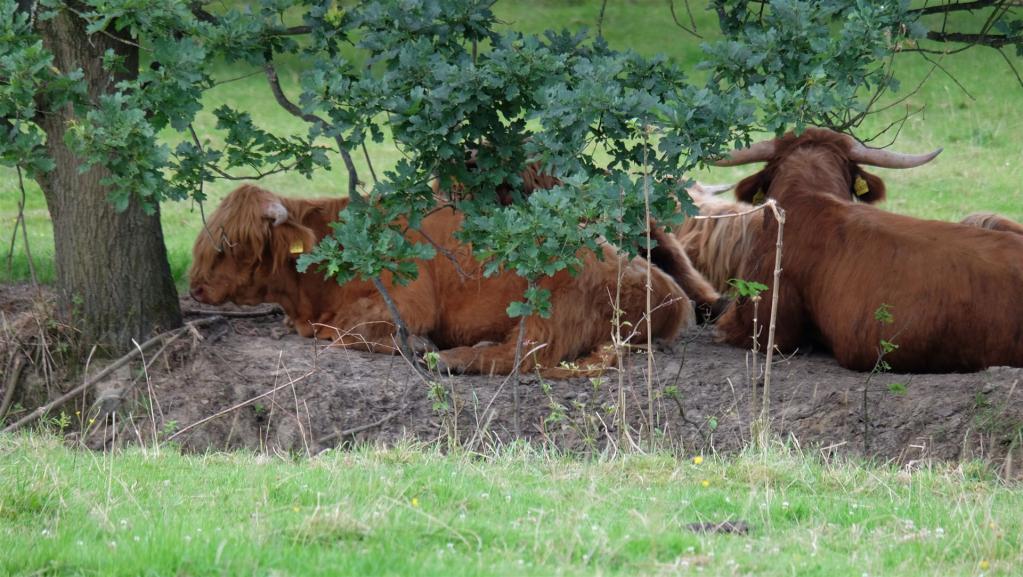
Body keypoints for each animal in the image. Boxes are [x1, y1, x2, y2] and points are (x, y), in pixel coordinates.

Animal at [189, 184, 695, 377]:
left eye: (232, 245)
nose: (194, 287)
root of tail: (671, 294)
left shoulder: (406, 303)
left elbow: (349, 331)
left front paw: (415, 344)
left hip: (551, 308)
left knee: (521, 355)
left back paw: (446, 357)